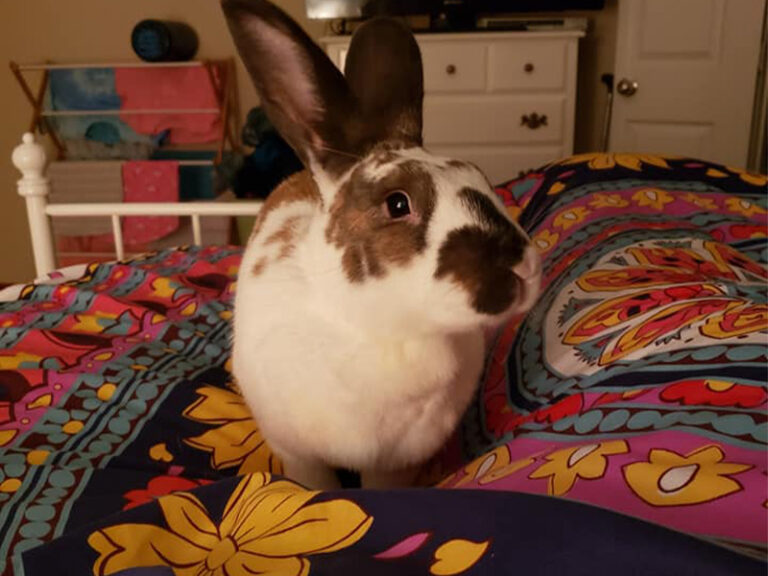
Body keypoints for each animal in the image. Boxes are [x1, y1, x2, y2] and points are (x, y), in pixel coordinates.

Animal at [223, 0, 542, 490]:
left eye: (480, 176)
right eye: (397, 203)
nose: (522, 267)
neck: (391, 333)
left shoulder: (396, 462)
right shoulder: (298, 454)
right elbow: (314, 488)